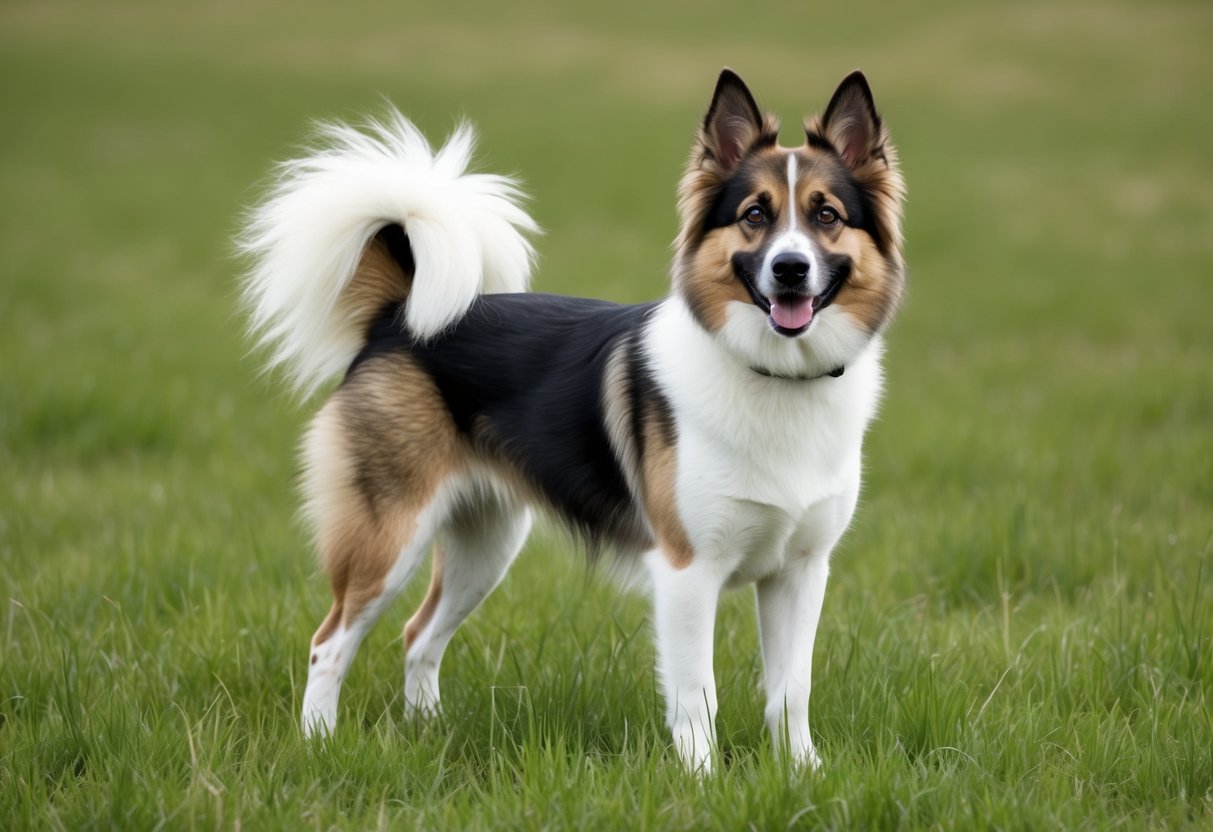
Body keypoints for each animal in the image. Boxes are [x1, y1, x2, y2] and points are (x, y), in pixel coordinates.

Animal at [243, 68, 902, 771]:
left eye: (826, 216)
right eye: (755, 215)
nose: (790, 268)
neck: (774, 376)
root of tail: (396, 318)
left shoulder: (801, 569)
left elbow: (791, 689)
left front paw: (800, 773)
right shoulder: (687, 571)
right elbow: (697, 694)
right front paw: (702, 778)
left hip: (487, 544)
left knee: (418, 635)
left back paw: (427, 730)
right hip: (389, 537)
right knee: (330, 641)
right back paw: (319, 743)